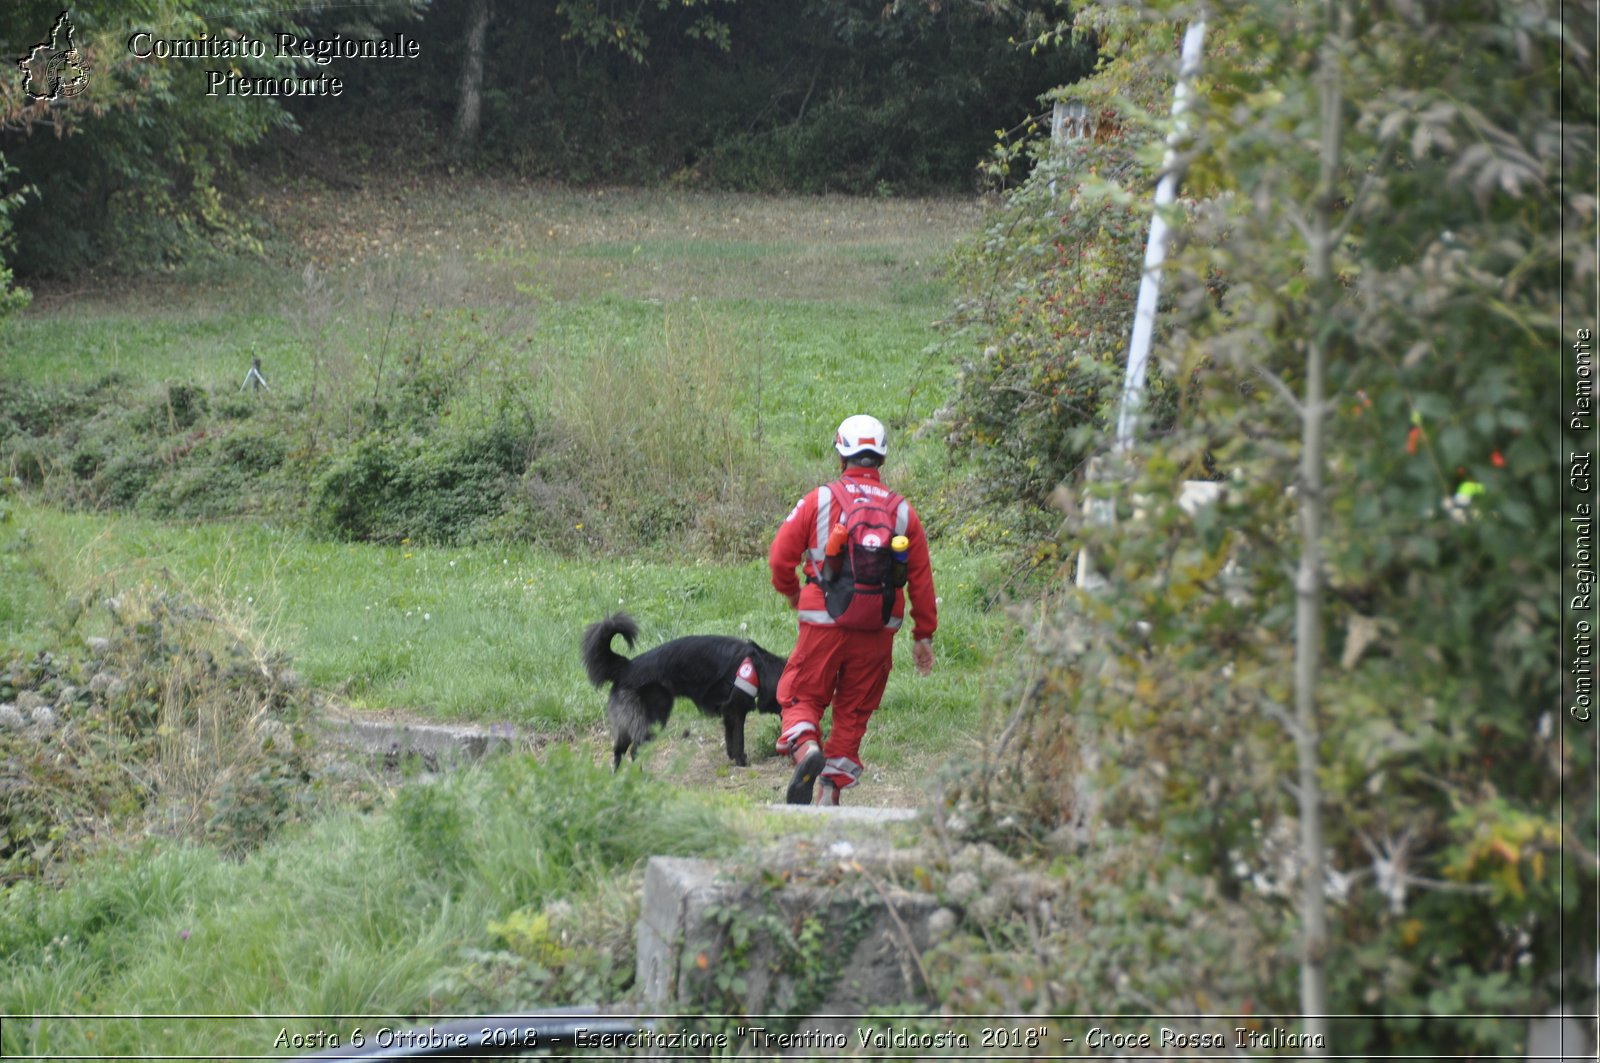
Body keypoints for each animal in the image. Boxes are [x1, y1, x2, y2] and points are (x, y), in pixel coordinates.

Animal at [585, 611, 790, 768]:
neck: (760, 668)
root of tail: (627, 666)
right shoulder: (734, 710)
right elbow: (738, 739)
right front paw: (742, 762)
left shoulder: (728, 714)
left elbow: (730, 739)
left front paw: (733, 757)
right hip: (655, 716)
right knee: (635, 750)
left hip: (628, 723)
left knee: (619, 750)